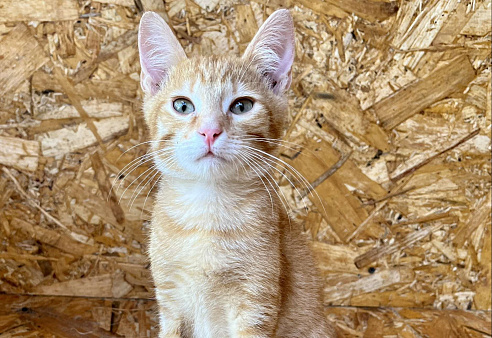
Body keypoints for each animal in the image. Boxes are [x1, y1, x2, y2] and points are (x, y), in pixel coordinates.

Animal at [138, 9, 336, 336]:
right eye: (182, 105)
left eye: (242, 106)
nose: (209, 131)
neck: (207, 214)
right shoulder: (171, 300)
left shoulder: (256, 302)